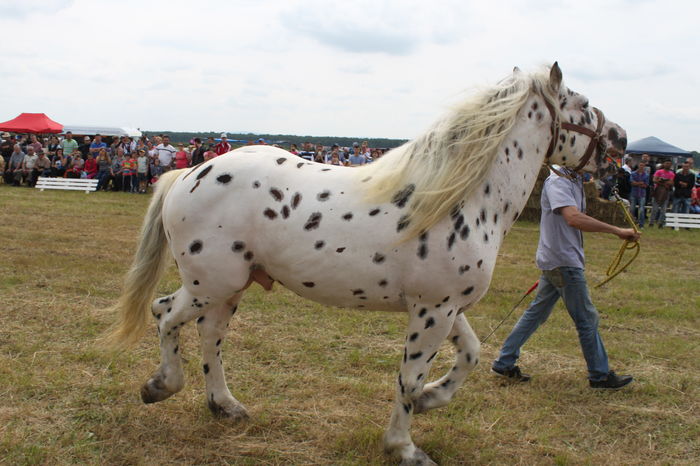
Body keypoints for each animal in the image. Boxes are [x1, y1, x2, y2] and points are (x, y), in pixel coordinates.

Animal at [107, 63, 626, 465]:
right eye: (582, 103)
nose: (620, 139)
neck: (462, 199)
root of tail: (186, 174)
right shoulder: (433, 310)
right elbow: (409, 378)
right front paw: (405, 447)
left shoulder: (446, 308)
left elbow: (471, 356)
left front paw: (434, 400)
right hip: (211, 282)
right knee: (164, 314)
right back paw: (160, 386)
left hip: (230, 287)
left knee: (208, 335)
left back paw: (225, 406)